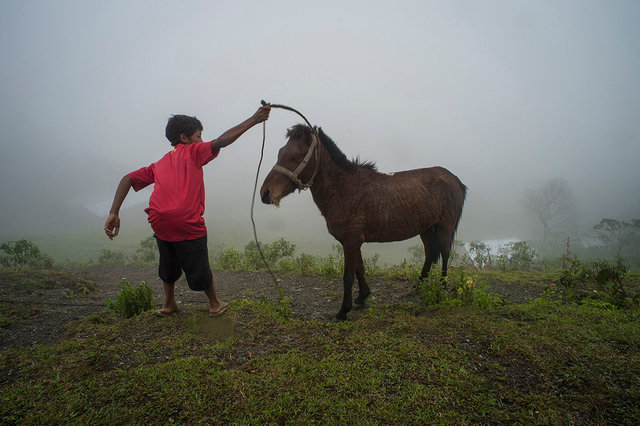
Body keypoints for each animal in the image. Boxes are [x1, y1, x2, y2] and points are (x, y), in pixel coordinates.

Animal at [260, 124, 467, 320]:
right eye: (280, 153)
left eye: (295, 157)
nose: (265, 193)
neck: (344, 188)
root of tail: (454, 178)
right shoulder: (352, 240)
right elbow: (360, 269)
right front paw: (362, 296)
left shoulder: (351, 240)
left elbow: (348, 276)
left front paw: (343, 311)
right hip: (425, 228)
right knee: (430, 252)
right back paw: (419, 285)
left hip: (445, 226)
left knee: (445, 253)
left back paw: (441, 288)